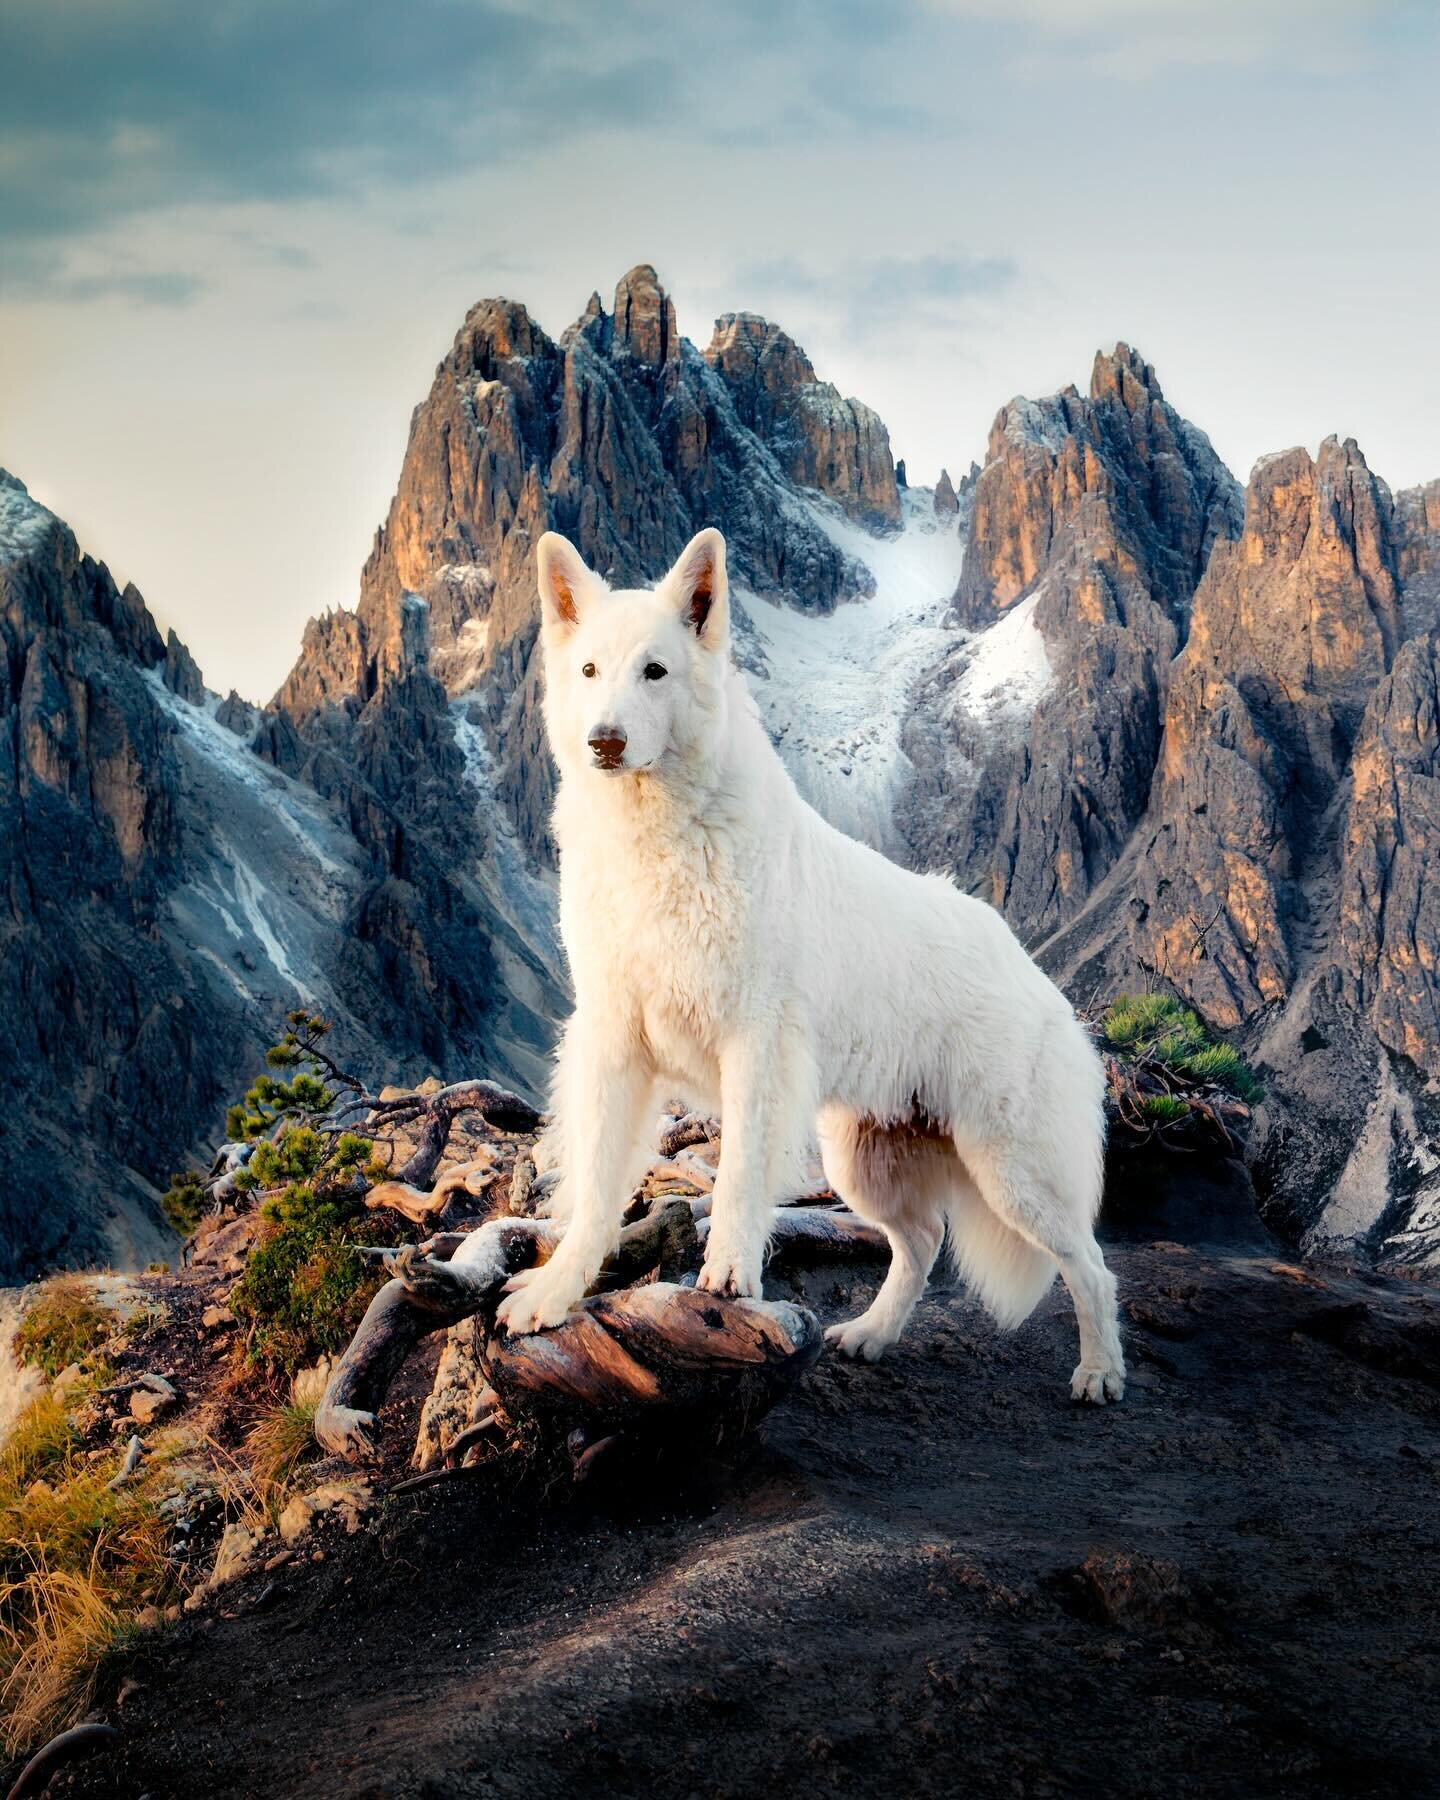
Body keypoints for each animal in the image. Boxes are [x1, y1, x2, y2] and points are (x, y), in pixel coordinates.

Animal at [496, 525, 1123, 1404]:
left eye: (655, 671)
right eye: (588, 672)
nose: (604, 744)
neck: (661, 841)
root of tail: (1032, 971)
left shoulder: (755, 1050)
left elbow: (735, 1179)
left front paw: (728, 1281)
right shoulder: (614, 1048)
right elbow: (593, 1194)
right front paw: (556, 1295)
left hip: (1011, 1171)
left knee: (1091, 1265)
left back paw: (1100, 1372)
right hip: (864, 1161)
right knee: (921, 1241)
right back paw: (871, 1335)